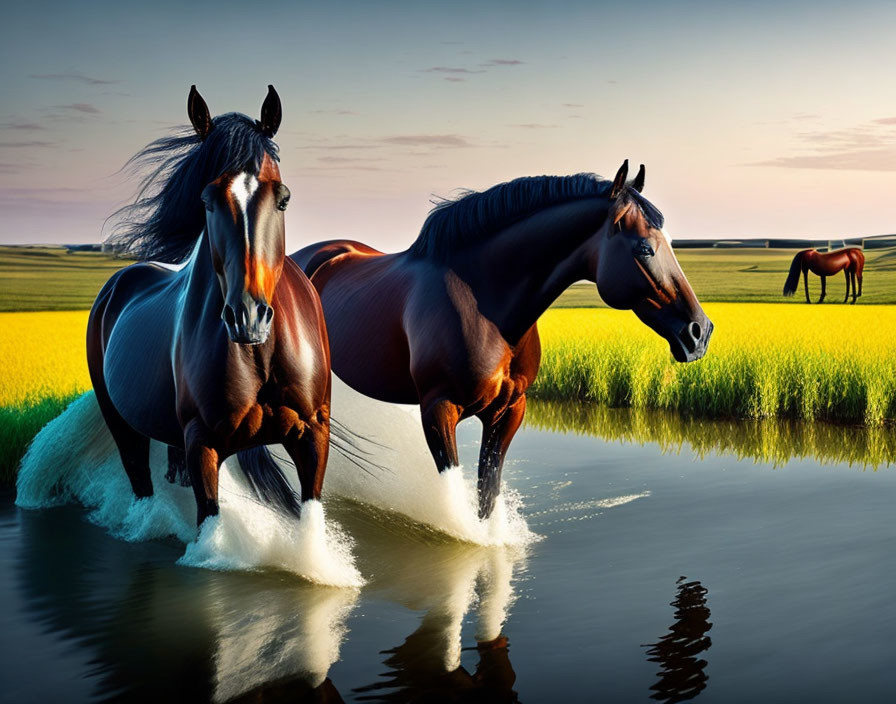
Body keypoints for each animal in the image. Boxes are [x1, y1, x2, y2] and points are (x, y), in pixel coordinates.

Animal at [86, 85, 332, 524]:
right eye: (207, 200)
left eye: (283, 198)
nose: (248, 319)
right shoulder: (203, 443)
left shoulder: (314, 435)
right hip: (122, 425)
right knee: (138, 477)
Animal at [240, 161, 712, 524]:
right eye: (645, 248)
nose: (699, 332)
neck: (488, 306)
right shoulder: (438, 410)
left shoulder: (510, 410)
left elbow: (489, 492)